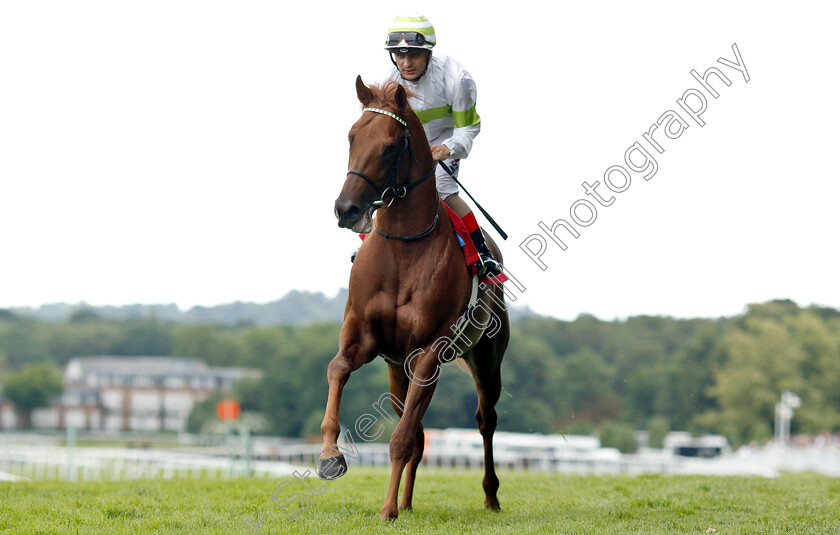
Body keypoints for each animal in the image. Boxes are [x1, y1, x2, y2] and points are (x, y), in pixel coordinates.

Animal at [318, 77, 508, 520]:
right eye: (351, 137)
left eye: (390, 146)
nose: (345, 209)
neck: (403, 248)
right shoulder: (363, 337)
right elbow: (337, 369)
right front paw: (331, 456)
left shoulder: (429, 350)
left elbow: (401, 440)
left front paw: (386, 509)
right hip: (395, 372)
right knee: (419, 431)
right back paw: (406, 501)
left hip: (485, 359)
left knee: (485, 421)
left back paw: (489, 496)